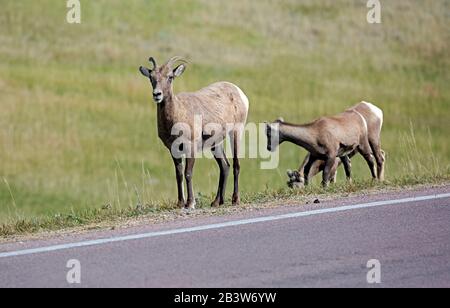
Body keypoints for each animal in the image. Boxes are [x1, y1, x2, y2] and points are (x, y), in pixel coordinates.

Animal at [140, 56, 250, 209]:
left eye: (170, 77)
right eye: (151, 78)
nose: (157, 94)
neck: (177, 114)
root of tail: (239, 93)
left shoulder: (190, 147)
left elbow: (188, 173)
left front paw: (190, 203)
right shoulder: (173, 149)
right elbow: (179, 175)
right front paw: (180, 203)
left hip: (236, 132)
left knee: (236, 165)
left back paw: (235, 200)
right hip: (215, 144)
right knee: (224, 166)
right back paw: (216, 202)